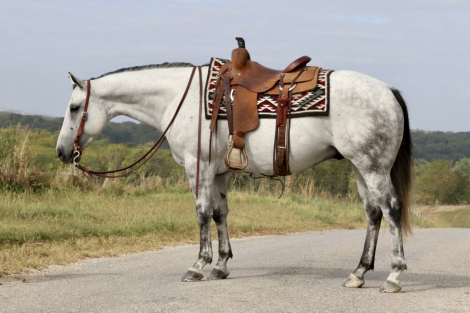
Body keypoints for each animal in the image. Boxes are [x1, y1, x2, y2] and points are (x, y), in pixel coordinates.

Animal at [57, 61, 414, 292]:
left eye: (74, 108)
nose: (62, 152)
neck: (179, 98)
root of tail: (388, 90)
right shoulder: (218, 172)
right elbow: (220, 213)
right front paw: (221, 266)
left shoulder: (197, 167)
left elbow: (202, 214)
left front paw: (198, 266)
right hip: (359, 166)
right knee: (373, 213)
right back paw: (358, 273)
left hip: (372, 166)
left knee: (391, 209)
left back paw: (394, 276)